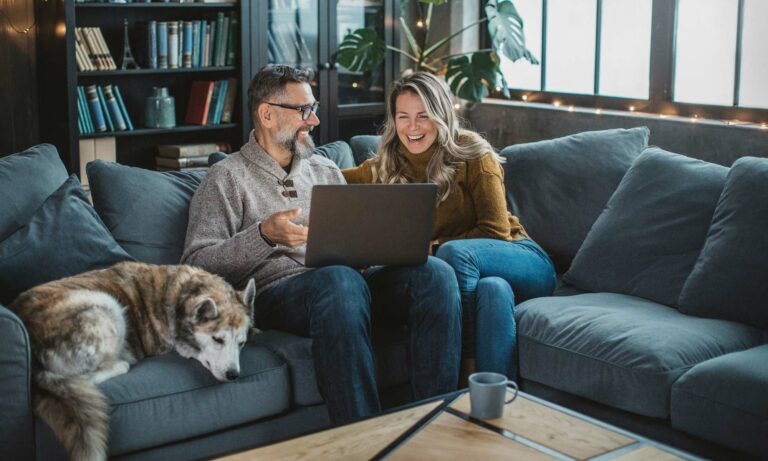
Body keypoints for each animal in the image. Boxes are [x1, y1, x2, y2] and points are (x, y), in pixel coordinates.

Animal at [9, 260, 256, 460]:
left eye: (242, 343)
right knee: (86, 376)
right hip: (105, 304)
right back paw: (121, 362)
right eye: (217, 339)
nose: (233, 375)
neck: (181, 296)